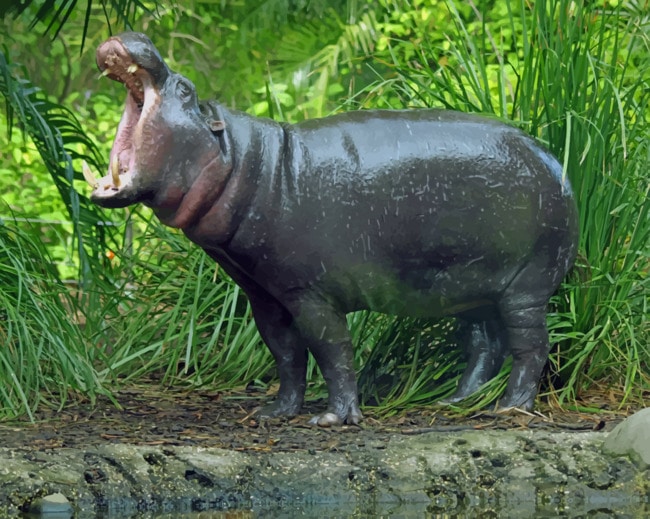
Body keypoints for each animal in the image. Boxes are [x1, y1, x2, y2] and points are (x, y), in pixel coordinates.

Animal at [85, 32, 579, 426]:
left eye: (186, 88)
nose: (137, 36)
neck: (247, 163)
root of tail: (557, 164)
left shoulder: (311, 292)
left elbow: (331, 350)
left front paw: (333, 419)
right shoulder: (265, 294)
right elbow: (285, 354)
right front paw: (274, 413)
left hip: (526, 286)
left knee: (531, 346)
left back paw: (510, 409)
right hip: (468, 284)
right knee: (484, 343)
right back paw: (454, 404)